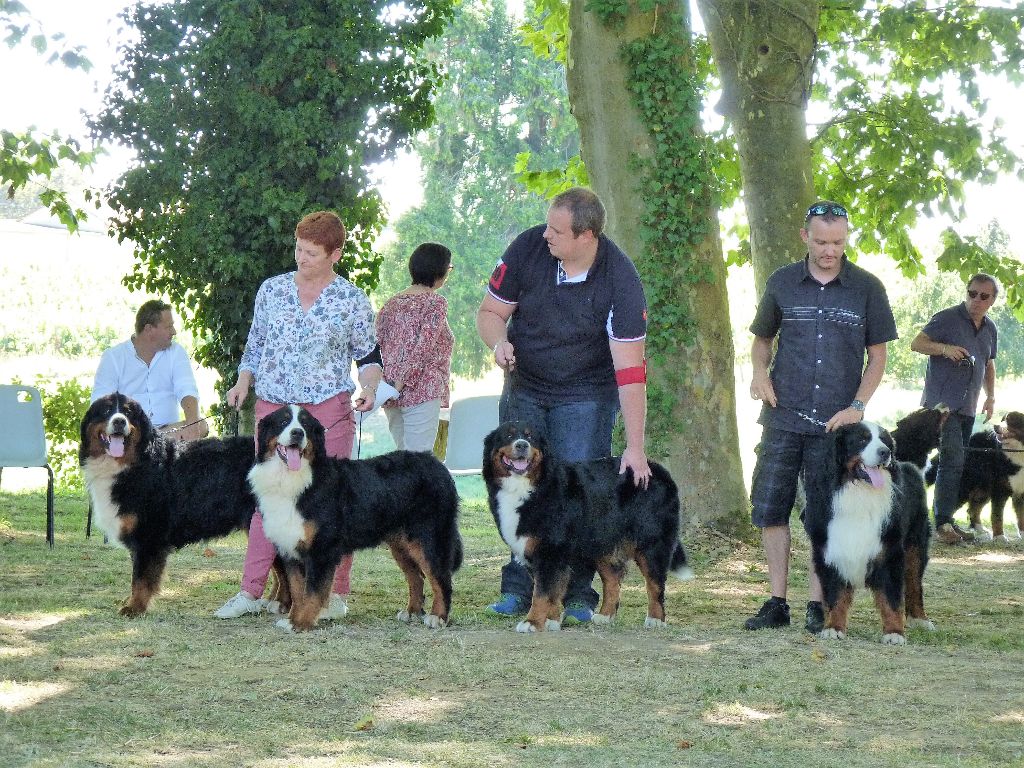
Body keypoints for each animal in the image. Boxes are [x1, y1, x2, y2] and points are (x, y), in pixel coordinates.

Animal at [78, 397, 288, 618]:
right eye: (107, 410)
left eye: (128, 413)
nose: (119, 421)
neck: (134, 463)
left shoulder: (148, 536)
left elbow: (141, 578)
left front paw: (134, 607)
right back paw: (272, 601)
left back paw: (282, 603)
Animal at [245, 405, 462, 634]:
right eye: (284, 421)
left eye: (304, 424)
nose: (297, 433)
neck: (294, 479)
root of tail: (437, 464)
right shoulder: (291, 548)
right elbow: (297, 590)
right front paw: (292, 619)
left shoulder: (321, 549)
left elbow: (312, 592)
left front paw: (301, 623)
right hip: (402, 544)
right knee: (416, 577)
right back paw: (412, 612)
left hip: (428, 539)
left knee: (441, 579)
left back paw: (438, 617)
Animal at [481, 423, 692, 634]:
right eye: (508, 436)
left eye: (530, 437)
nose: (522, 445)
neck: (528, 487)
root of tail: (657, 468)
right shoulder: (537, 551)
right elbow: (552, 590)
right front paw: (551, 621)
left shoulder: (549, 550)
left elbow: (542, 593)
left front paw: (532, 622)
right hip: (602, 542)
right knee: (613, 580)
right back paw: (605, 616)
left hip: (651, 543)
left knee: (655, 584)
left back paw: (655, 618)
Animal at [802, 423, 937, 647]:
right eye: (862, 439)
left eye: (884, 440)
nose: (885, 452)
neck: (859, 494)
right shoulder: (830, 551)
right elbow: (835, 595)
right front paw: (833, 627)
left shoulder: (889, 552)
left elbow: (891, 599)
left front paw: (894, 632)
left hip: (915, 546)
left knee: (914, 584)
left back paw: (920, 619)